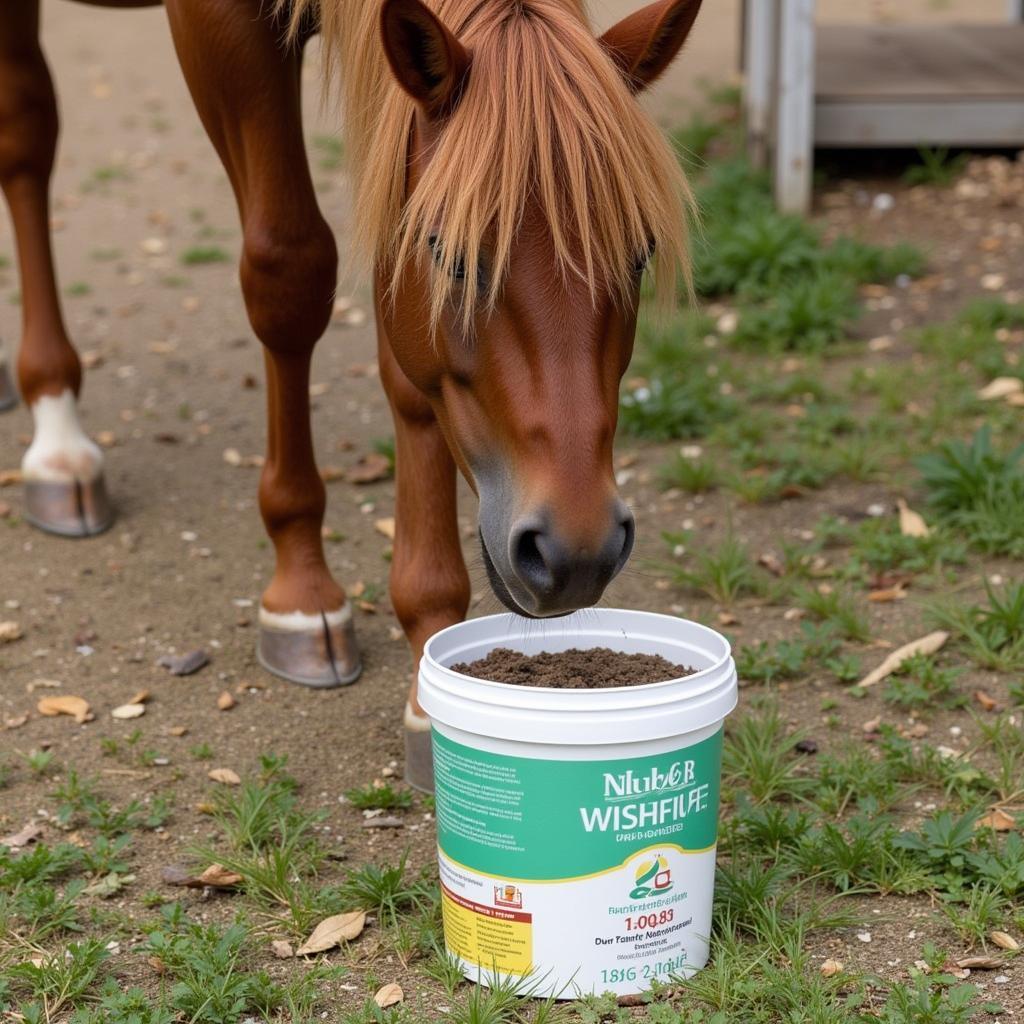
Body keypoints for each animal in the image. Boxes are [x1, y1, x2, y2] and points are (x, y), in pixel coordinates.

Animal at [0, 0, 700, 786]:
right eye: (452, 256)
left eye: (639, 254)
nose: (577, 550)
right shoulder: (221, 32)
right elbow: (288, 270)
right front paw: (302, 591)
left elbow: (408, 378)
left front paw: (429, 670)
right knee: (25, 134)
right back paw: (57, 438)